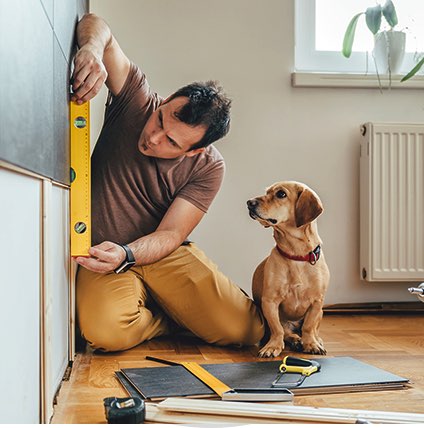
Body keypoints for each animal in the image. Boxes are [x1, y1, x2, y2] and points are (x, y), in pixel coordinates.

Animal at [247, 181, 330, 358]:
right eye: (267, 192)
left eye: (281, 194)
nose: (249, 202)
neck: (296, 255)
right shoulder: (270, 302)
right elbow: (277, 329)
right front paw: (273, 347)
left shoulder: (317, 302)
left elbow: (308, 327)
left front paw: (311, 344)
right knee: (287, 332)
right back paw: (296, 340)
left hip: (321, 312)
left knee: (312, 329)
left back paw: (314, 340)